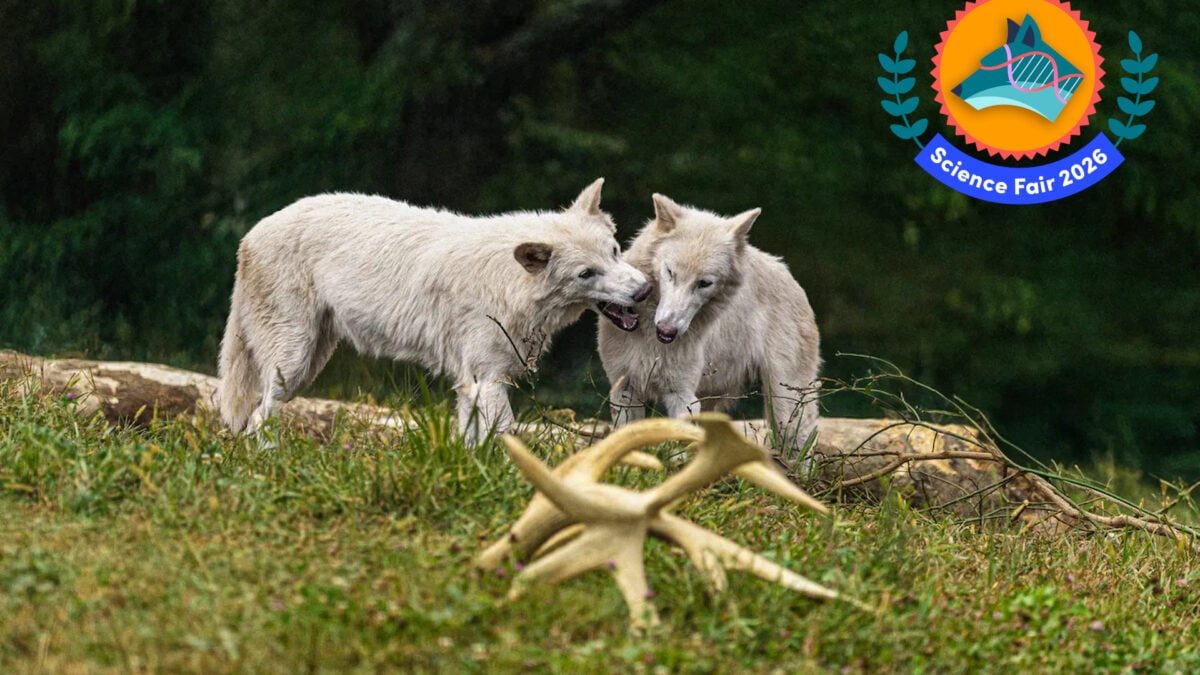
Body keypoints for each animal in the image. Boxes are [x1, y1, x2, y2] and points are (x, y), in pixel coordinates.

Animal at [217, 179, 651, 445]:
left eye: (615, 251)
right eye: (586, 273)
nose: (644, 290)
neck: (510, 283)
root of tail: (250, 234)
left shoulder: (473, 385)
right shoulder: (486, 381)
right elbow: (508, 438)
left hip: (308, 364)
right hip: (292, 364)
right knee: (258, 418)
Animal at [597, 194, 821, 459]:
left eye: (704, 283)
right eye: (670, 272)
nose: (667, 330)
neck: (650, 338)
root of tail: (790, 276)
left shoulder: (681, 395)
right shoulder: (624, 388)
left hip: (785, 402)